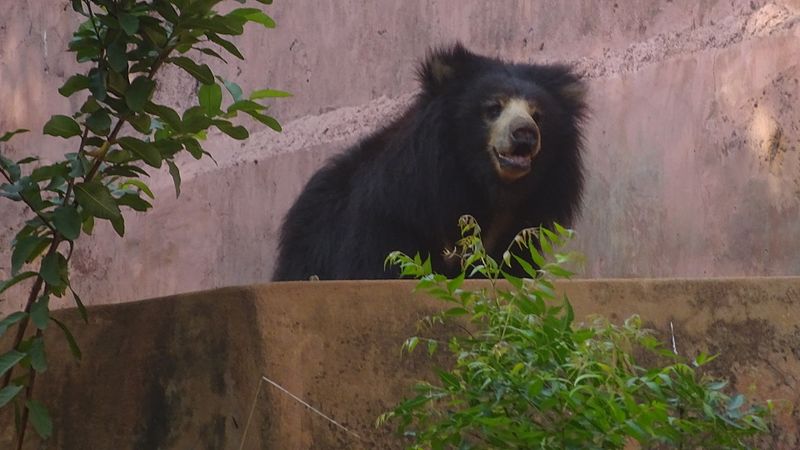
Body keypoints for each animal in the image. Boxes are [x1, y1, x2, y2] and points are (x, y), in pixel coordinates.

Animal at [276, 43, 588, 282]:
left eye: (538, 116)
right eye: (493, 108)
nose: (525, 134)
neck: (481, 183)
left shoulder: (516, 228)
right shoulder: (394, 211)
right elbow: (381, 264)